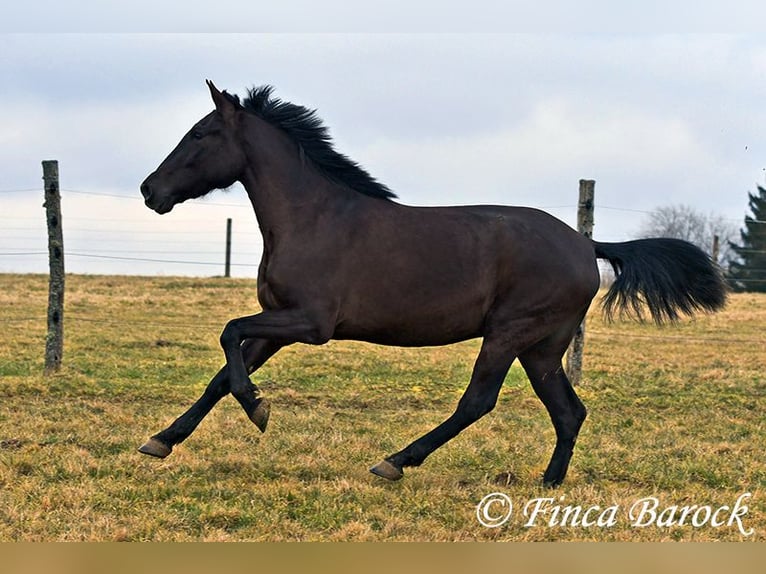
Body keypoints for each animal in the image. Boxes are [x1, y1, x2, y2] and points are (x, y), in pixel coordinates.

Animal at [140, 80, 732, 486]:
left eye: (199, 134)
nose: (150, 190)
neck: (314, 217)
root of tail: (587, 246)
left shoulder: (309, 323)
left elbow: (228, 333)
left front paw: (259, 409)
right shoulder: (277, 326)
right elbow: (222, 372)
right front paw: (162, 440)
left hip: (510, 334)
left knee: (478, 403)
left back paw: (395, 462)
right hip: (541, 347)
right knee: (569, 411)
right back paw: (549, 482)